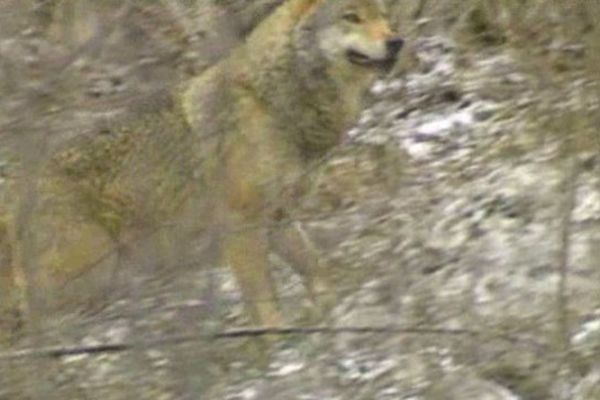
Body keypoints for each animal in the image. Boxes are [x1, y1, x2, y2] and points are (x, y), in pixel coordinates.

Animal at [1, 0, 404, 338]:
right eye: (351, 17)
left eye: (383, 15)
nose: (397, 41)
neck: (274, 100)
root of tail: (15, 192)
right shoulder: (240, 226)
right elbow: (265, 309)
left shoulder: (280, 219)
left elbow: (318, 271)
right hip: (90, 279)